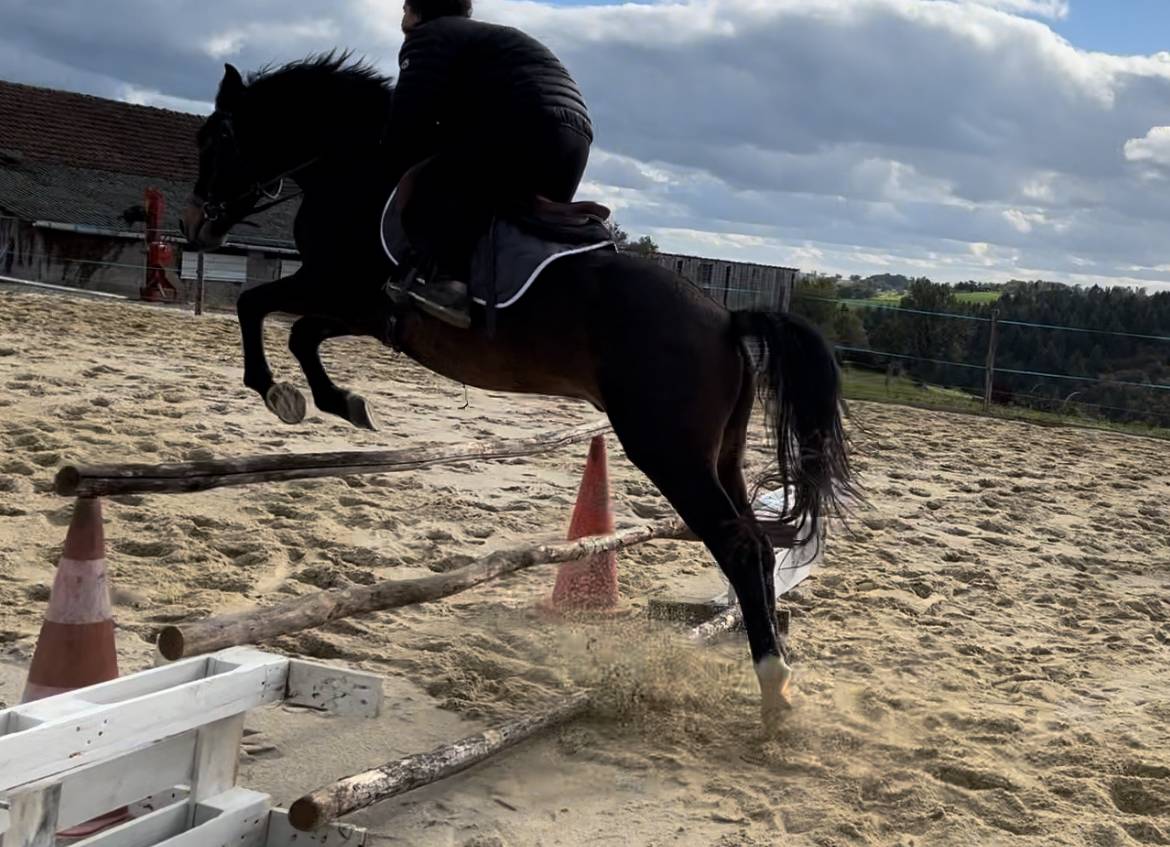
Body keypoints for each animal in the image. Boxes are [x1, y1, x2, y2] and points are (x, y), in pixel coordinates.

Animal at [179, 54, 854, 728]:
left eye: (214, 139)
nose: (193, 226)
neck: (354, 167)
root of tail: (727, 319)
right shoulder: (365, 311)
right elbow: (298, 332)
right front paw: (335, 402)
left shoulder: (338, 287)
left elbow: (254, 305)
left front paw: (280, 395)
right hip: (720, 456)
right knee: (757, 547)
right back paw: (778, 676)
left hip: (668, 452)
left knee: (738, 545)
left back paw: (771, 685)